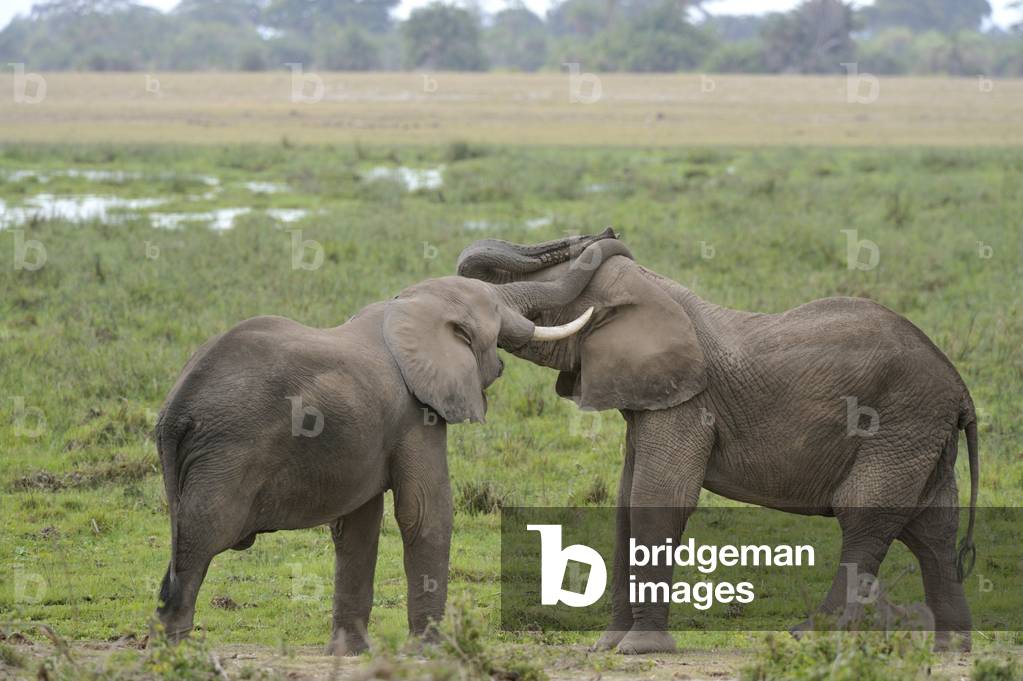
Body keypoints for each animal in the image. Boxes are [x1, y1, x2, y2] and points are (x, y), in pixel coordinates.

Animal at [151, 241, 631, 654]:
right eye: (496, 311)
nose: (609, 235)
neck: (404, 307)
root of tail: (175, 412)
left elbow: (357, 526)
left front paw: (350, 653)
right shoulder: (414, 414)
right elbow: (424, 510)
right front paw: (431, 651)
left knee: (182, 544)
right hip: (226, 454)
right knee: (201, 541)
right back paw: (179, 651)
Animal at [457, 229, 979, 654]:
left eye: (542, 313)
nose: (604, 232)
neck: (651, 288)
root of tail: (960, 388)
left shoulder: (686, 406)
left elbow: (657, 499)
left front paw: (640, 650)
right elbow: (627, 503)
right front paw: (607, 647)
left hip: (900, 423)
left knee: (866, 516)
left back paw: (810, 636)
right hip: (920, 435)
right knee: (932, 529)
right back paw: (950, 647)